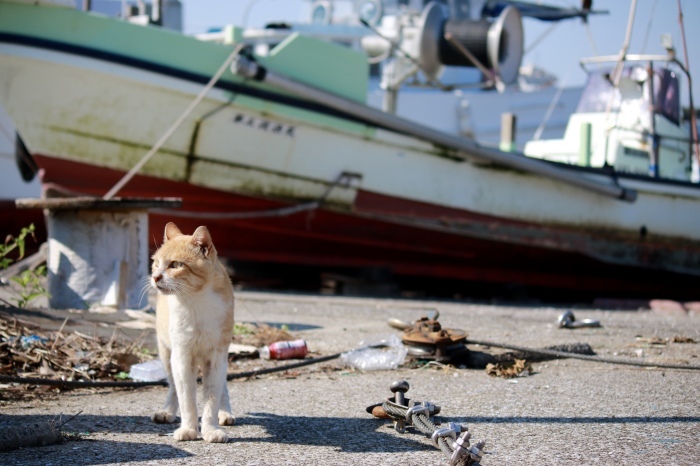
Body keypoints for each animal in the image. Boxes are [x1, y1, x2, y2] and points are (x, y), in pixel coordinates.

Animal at [149, 224, 237, 442]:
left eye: (175, 264)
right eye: (156, 263)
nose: (155, 277)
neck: (195, 302)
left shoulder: (216, 358)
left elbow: (212, 398)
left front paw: (211, 429)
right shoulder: (181, 358)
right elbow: (186, 399)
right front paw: (189, 429)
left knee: (223, 387)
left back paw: (225, 413)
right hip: (166, 355)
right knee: (173, 388)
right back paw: (167, 412)